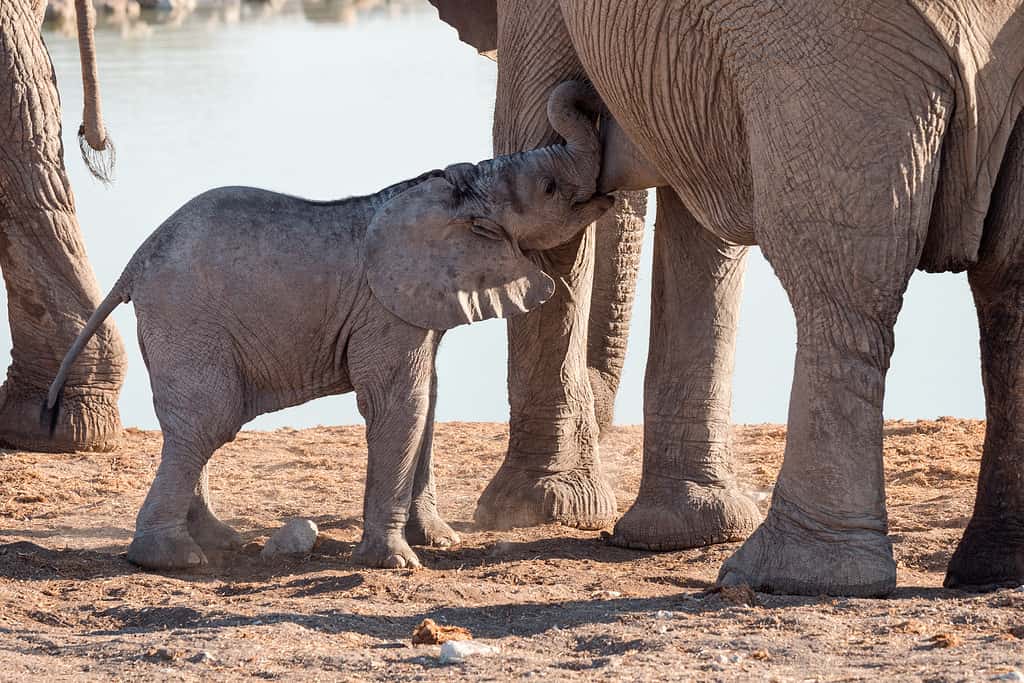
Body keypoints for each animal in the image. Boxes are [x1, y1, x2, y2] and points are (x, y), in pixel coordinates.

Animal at [46, 81, 606, 573]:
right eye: (550, 188)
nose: (590, 92)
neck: (461, 192)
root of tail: (136, 261)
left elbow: (427, 403)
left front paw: (439, 541)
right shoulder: (385, 310)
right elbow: (400, 405)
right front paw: (397, 564)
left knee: (189, 425)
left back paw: (220, 541)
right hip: (186, 316)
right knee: (209, 419)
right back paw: (172, 559)